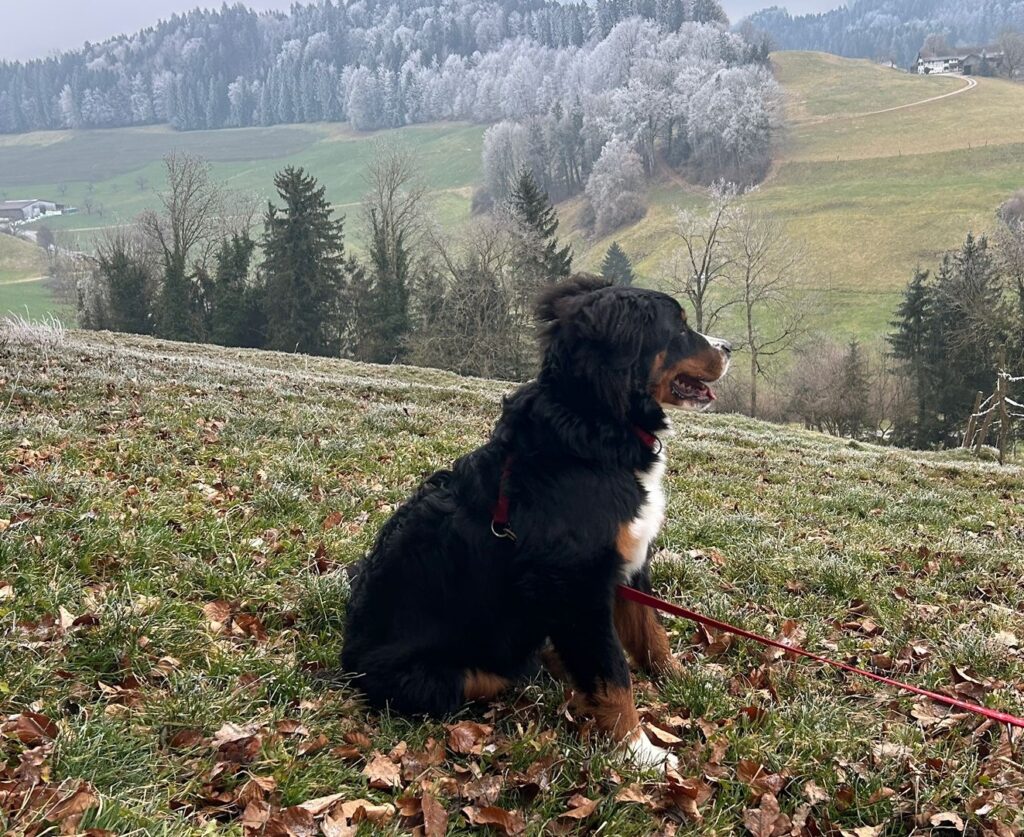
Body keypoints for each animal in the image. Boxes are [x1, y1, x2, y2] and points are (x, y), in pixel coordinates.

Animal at [341, 274, 731, 767]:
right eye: (678, 327)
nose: (730, 346)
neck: (596, 425)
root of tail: (348, 658)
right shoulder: (579, 586)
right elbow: (613, 674)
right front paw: (638, 749)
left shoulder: (627, 566)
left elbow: (651, 635)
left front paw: (682, 679)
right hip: (457, 672)